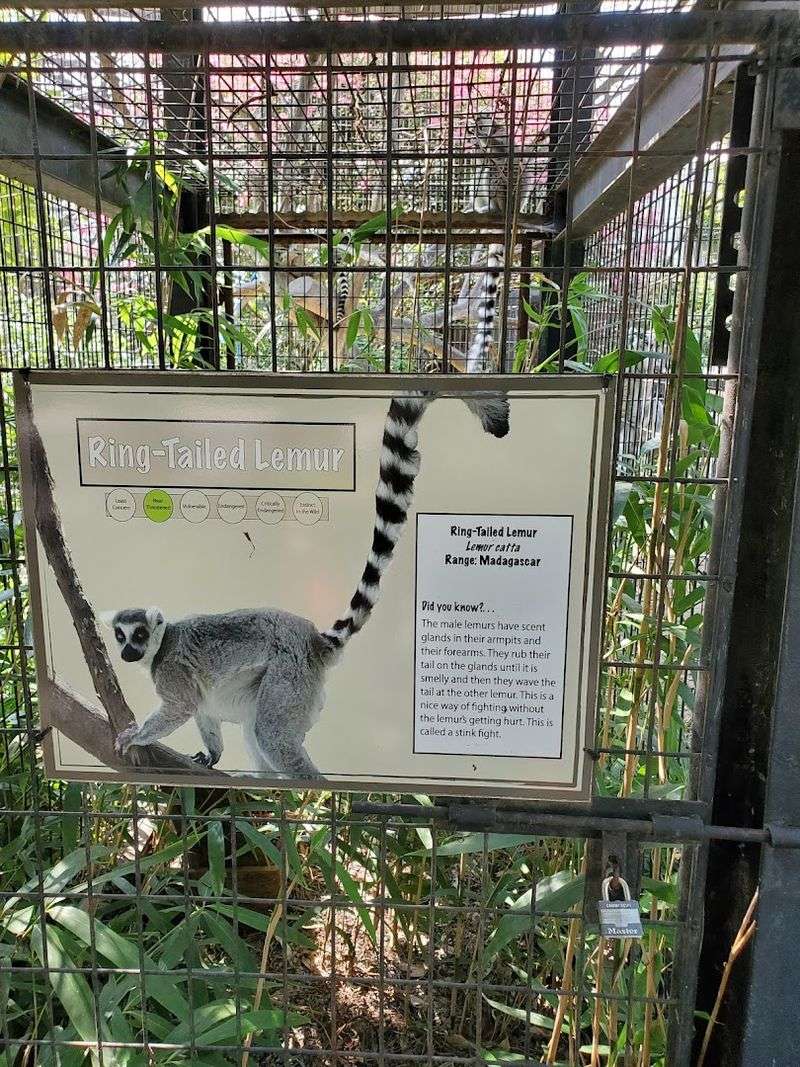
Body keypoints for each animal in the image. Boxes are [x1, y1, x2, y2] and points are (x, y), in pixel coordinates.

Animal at [107, 391, 510, 780]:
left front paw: (135, 736)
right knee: (256, 725)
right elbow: (202, 712)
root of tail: (313, 641)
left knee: (270, 732)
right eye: (120, 636)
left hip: (289, 675)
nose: (127, 652)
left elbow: (180, 707)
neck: (160, 646)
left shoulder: (172, 672)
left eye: (139, 634)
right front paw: (210, 755)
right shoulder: (196, 692)